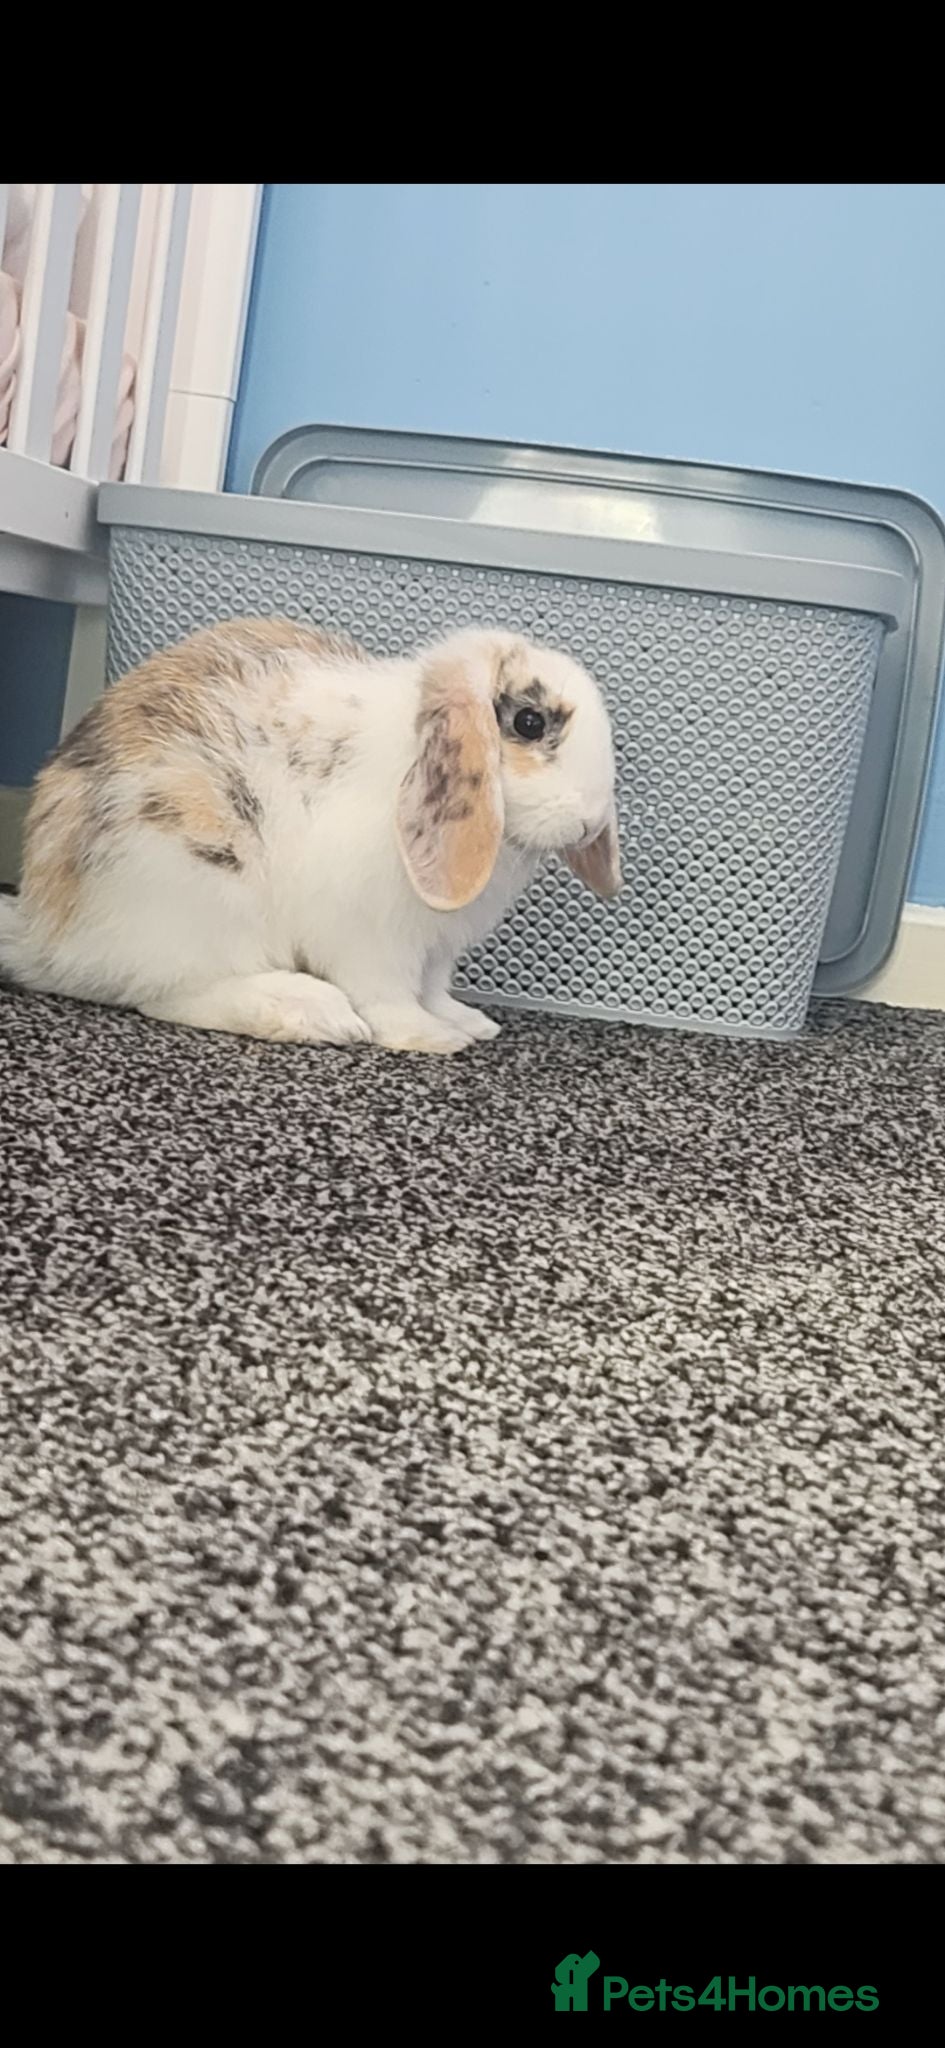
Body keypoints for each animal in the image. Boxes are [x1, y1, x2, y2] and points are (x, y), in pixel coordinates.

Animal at [0, 617, 620, 1054]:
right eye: (529, 723)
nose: (589, 821)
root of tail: (44, 931)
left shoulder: (436, 950)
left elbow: (434, 988)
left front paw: (468, 1022)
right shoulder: (372, 938)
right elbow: (390, 994)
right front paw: (431, 1038)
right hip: (197, 882)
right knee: (160, 992)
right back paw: (313, 1011)